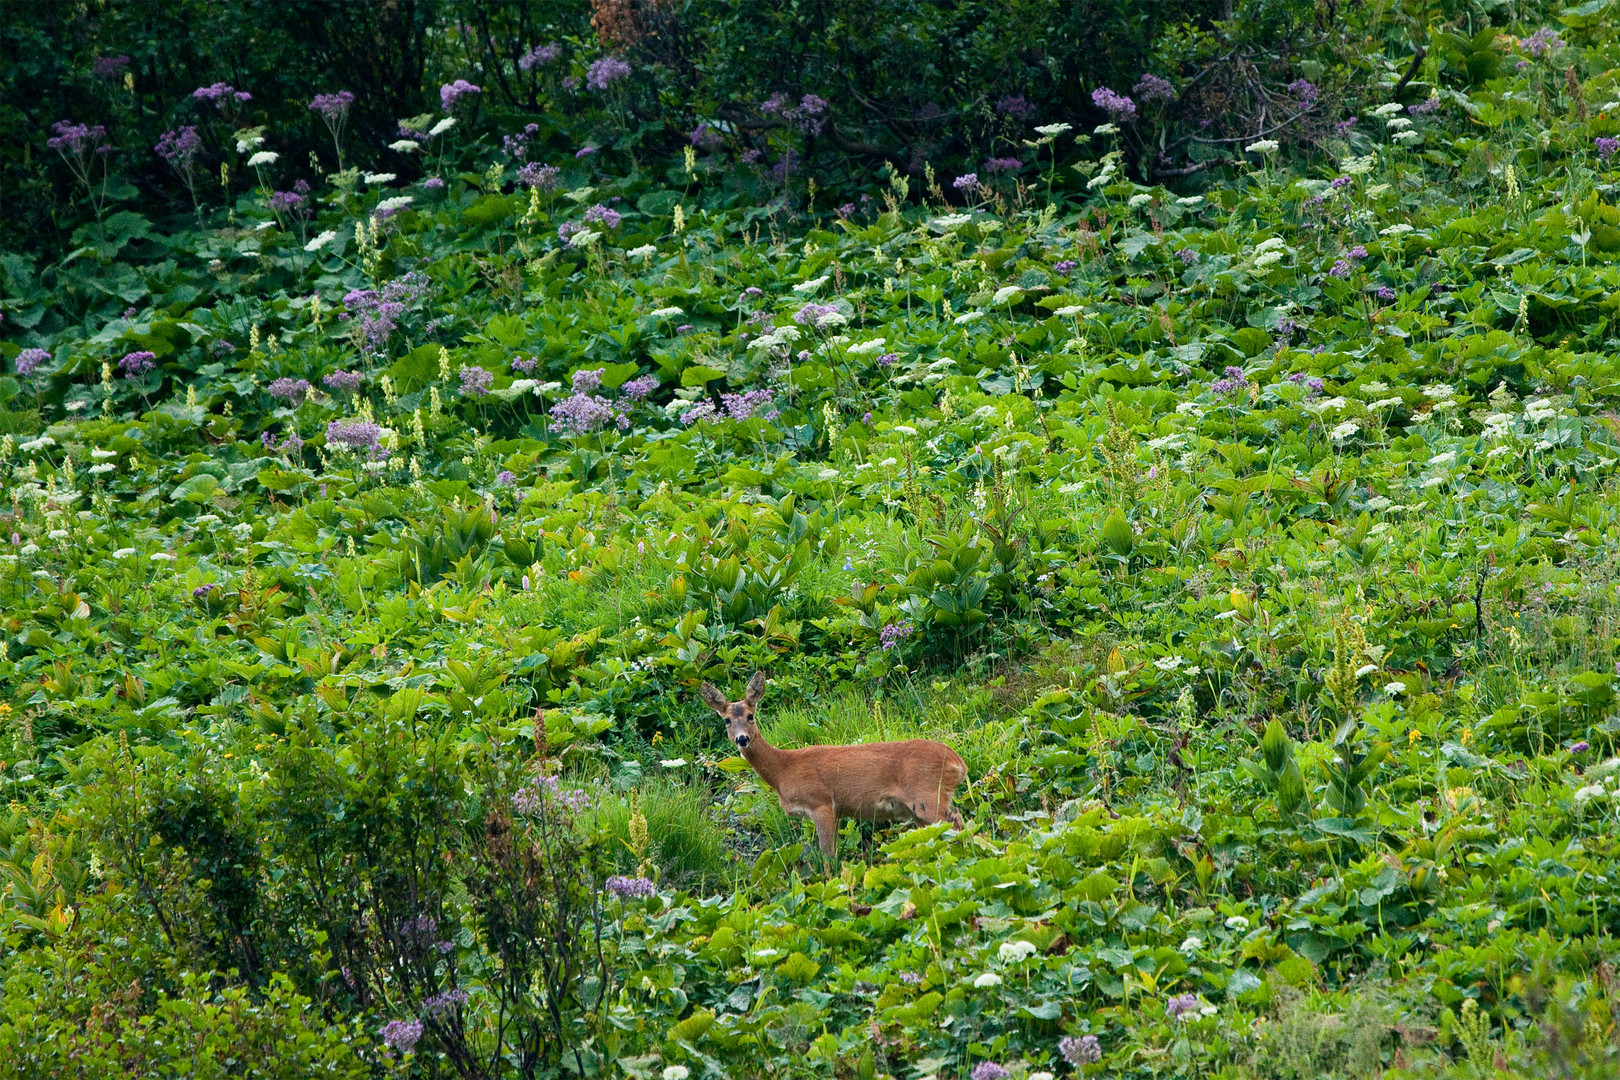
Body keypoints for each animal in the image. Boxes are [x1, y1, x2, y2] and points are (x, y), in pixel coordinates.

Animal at [696, 676, 959, 861]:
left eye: (751, 715)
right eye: (726, 720)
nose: (742, 739)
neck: (783, 770)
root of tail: (958, 762)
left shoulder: (821, 802)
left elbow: (828, 856)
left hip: (928, 795)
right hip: (921, 812)